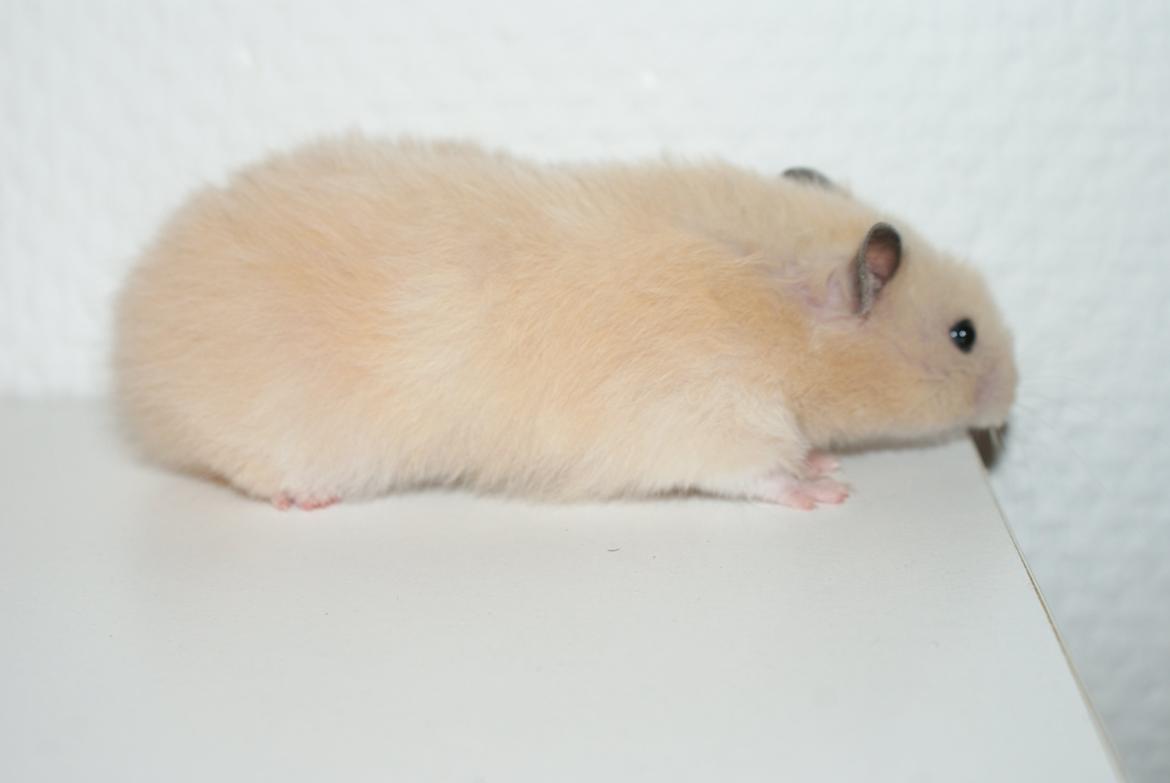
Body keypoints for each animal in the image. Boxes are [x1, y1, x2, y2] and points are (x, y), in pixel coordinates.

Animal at [113, 135, 1017, 510]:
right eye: (963, 334)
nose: (1012, 402)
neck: (773, 306)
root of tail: (130, 348)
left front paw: (825, 458)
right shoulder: (707, 420)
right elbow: (759, 471)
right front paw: (825, 488)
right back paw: (307, 498)